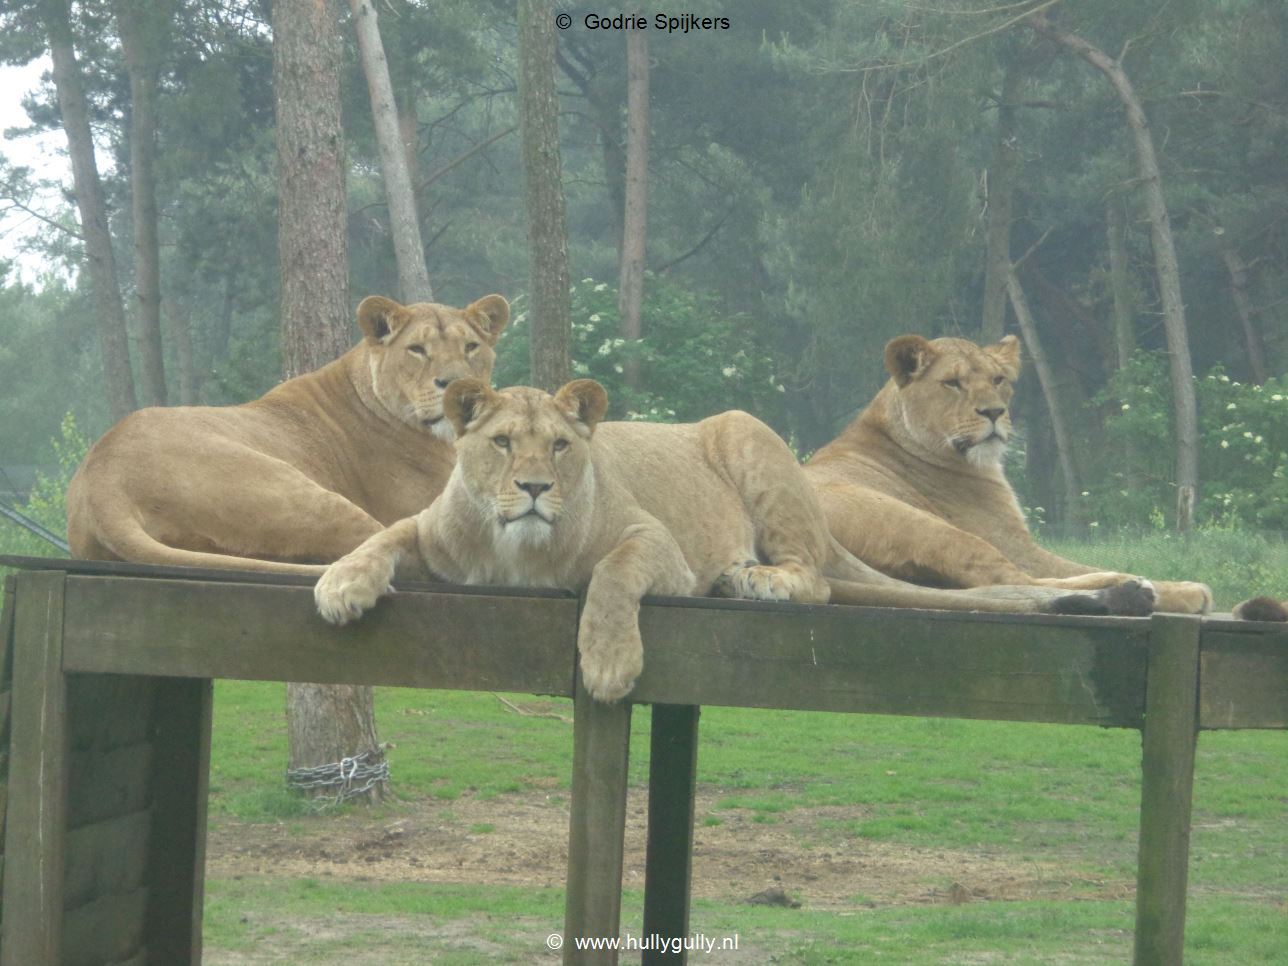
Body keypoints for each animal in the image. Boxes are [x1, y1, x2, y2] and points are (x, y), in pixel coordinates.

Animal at [314, 378, 1156, 702]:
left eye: (558, 446)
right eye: (499, 444)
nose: (532, 489)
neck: (517, 549)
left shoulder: (659, 547)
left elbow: (610, 579)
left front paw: (609, 664)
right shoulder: (429, 533)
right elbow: (376, 540)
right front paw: (340, 586)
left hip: (750, 440)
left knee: (815, 577)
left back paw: (754, 579)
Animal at [804, 333, 1213, 614]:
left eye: (998, 379)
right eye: (952, 383)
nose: (994, 412)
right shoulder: (1015, 543)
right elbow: (1062, 564)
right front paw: (1187, 591)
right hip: (926, 526)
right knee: (1015, 580)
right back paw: (1139, 588)